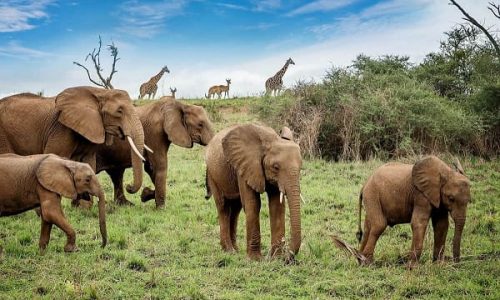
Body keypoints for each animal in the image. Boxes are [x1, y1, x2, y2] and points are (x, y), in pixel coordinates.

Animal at [0, 85, 146, 205]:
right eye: (119, 111)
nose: (129, 186)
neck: (99, 92)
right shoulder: (61, 129)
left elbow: (88, 162)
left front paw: (83, 208)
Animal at [205, 123, 302, 260]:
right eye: (276, 167)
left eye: (301, 167)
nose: (288, 258)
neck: (271, 139)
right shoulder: (245, 166)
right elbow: (253, 204)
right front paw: (256, 259)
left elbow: (277, 206)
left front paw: (276, 258)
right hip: (213, 174)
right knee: (223, 207)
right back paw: (229, 251)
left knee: (236, 208)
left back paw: (236, 250)